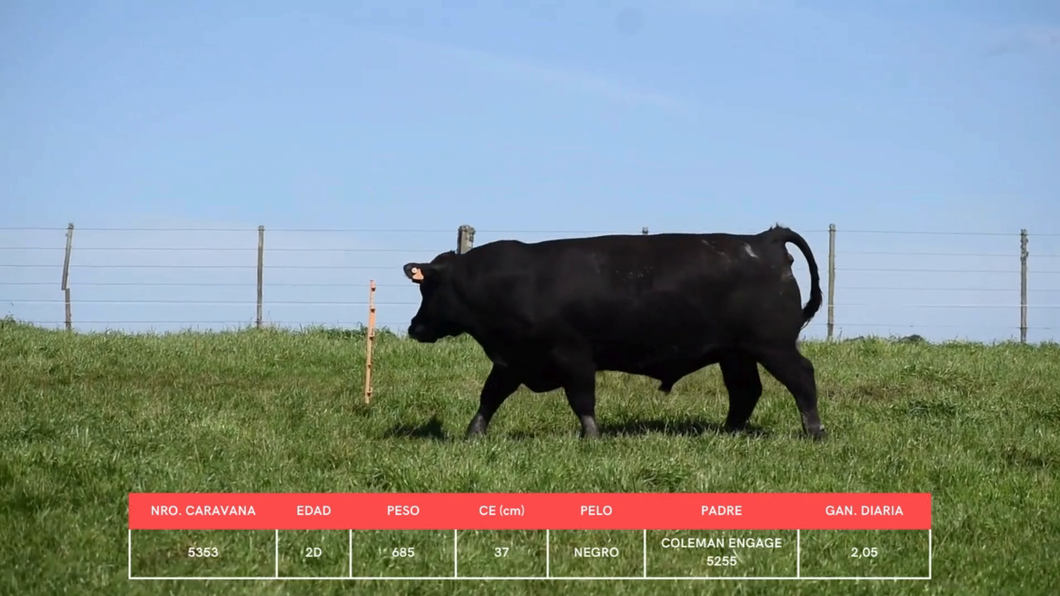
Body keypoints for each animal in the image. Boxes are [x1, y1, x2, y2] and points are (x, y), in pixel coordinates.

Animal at [400, 224, 822, 439]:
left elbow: (582, 401)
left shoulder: (573, 356)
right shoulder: (513, 360)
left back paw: (814, 431)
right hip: (736, 352)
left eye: (428, 288)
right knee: (745, 391)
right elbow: (490, 397)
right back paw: (727, 432)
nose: (414, 327)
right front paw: (473, 434)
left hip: (773, 344)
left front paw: (591, 437)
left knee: (802, 378)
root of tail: (762, 239)